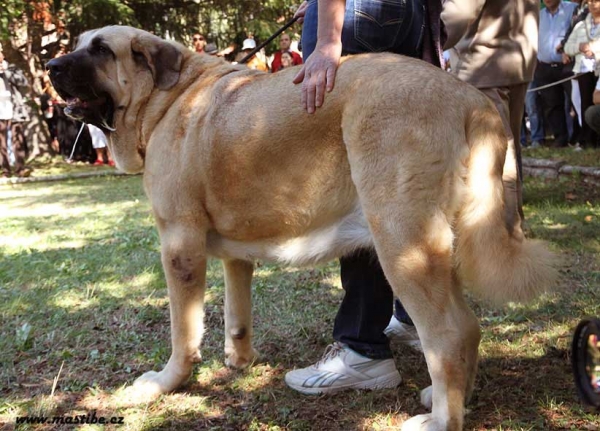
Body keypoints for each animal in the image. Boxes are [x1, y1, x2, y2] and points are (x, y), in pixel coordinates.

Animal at [48, 27, 556, 431]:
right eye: (79, 44)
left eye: (100, 50)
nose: (50, 65)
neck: (166, 98)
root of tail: (471, 99)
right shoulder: (235, 253)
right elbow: (236, 314)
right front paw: (239, 361)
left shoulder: (179, 246)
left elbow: (183, 331)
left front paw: (168, 381)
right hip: (440, 250)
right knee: (468, 328)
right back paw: (451, 400)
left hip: (403, 245)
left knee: (447, 336)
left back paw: (440, 421)